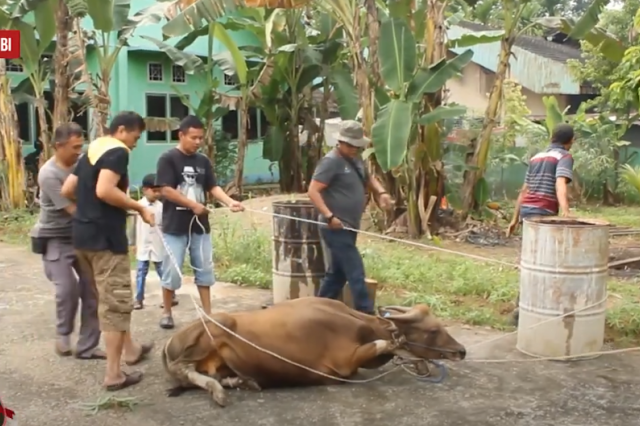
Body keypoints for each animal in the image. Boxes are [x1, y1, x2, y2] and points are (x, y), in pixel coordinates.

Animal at [162, 296, 464, 406]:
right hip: (217, 325)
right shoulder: (344, 365)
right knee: (182, 368)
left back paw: (241, 381)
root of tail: (170, 342)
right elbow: (384, 344)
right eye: (433, 330)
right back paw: (219, 391)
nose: (461, 351)